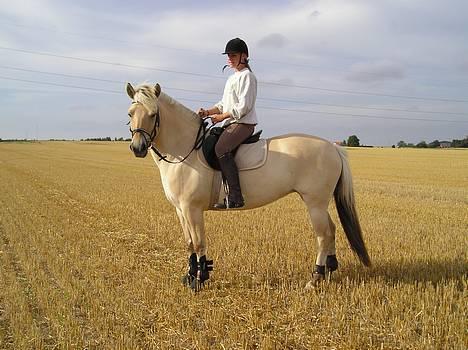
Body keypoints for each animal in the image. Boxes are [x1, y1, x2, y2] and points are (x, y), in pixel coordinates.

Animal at [126, 82, 372, 290]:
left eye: (153, 114)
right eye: (130, 114)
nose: (138, 148)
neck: (186, 150)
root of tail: (333, 147)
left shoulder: (192, 209)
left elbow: (198, 244)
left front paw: (199, 280)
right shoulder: (180, 210)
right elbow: (188, 244)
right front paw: (189, 276)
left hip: (315, 204)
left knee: (323, 235)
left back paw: (315, 278)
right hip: (318, 203)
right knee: (332, 230)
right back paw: (329, 270)